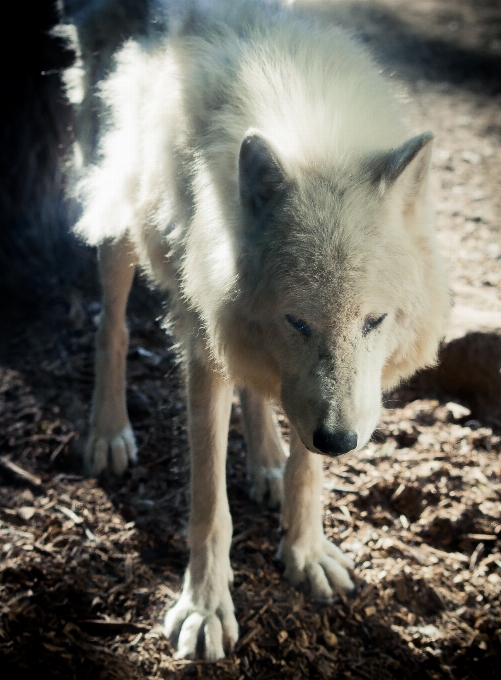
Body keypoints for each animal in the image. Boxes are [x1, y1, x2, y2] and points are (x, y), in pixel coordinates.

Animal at [59, 0, 450, 660]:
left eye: (374, 321)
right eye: (298, 321)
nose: (341, 440)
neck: (306, 122)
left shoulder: (317, 399)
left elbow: (306, 469)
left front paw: (305, 552)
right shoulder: (203, 344)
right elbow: (209, 505)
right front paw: (205, 607)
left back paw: (265, 463)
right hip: (119, 211)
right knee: (111, 329)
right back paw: (109, 433)